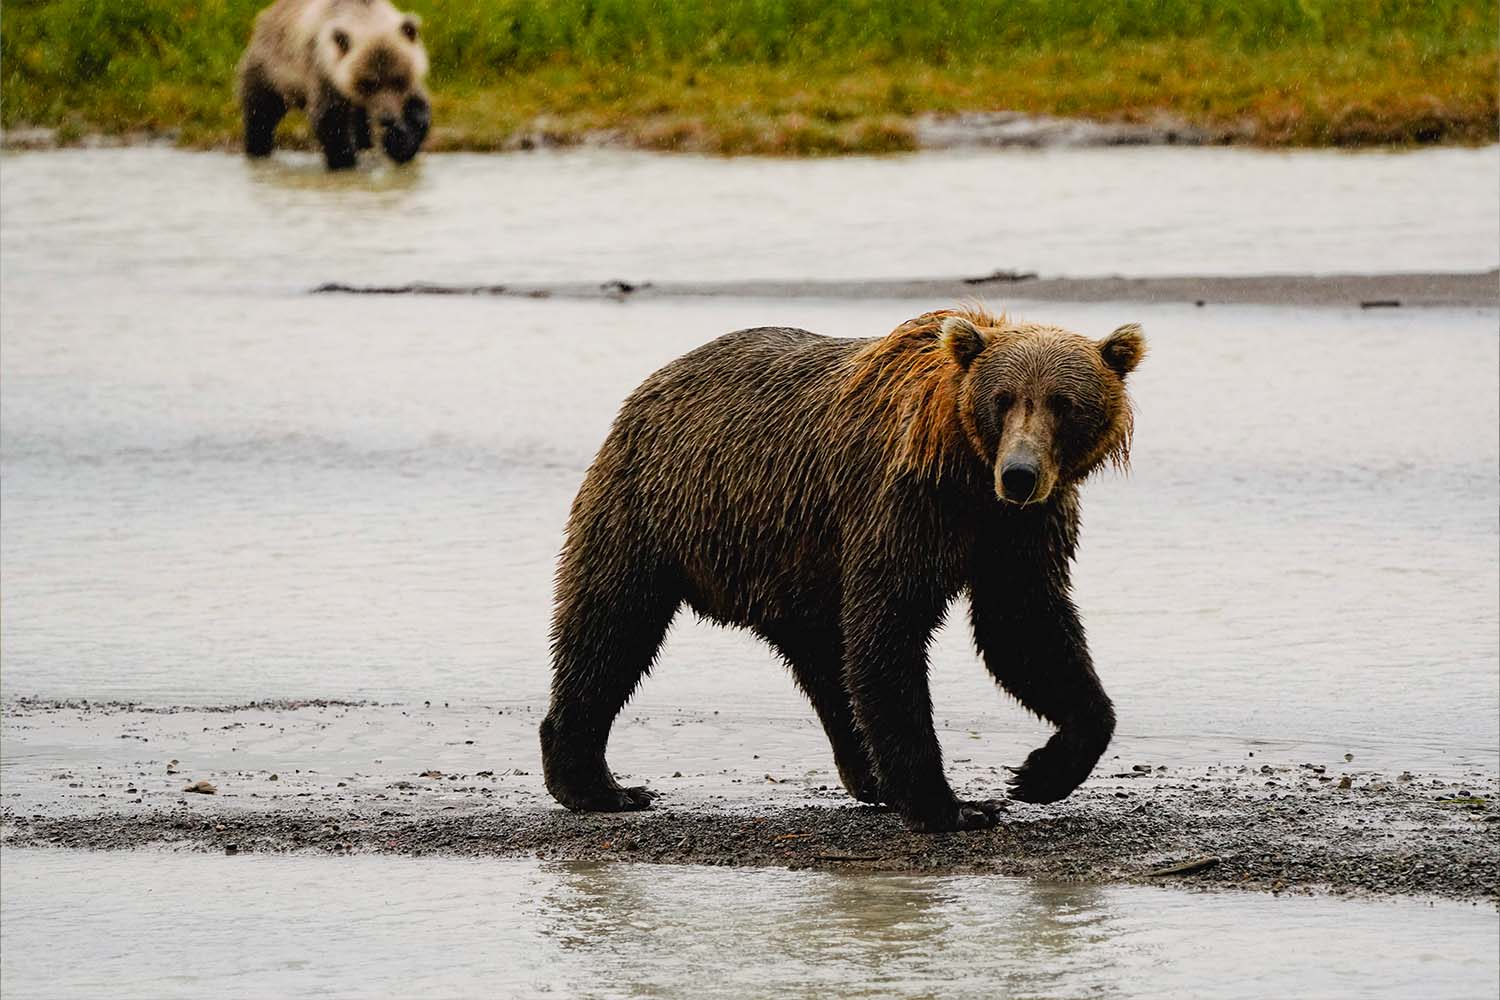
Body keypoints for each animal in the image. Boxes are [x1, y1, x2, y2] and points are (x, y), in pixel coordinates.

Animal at [237, 0, 431, 170]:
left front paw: (399, 143)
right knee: (261, 112)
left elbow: (417, 111)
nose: (387, 118)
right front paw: (344, 161)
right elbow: (331, 119)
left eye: (398, 79)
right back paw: (257, 150)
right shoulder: (323, 70)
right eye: (368, 83)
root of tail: (265, 15)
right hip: (271, 70)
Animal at [540, 307, 1146, 833]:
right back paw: (599, 785)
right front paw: (952, 806)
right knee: (612, 626)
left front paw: (1040, 773)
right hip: (659, 507)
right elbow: (891, 630)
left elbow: (1024, 628)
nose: (1020, 473)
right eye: (1002, 399)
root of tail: (651, 384)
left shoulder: (1018, 532)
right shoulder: (903, 505)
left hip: (792, 562)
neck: (969, 475)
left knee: (827, 661)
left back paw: (868, 775)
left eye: (1064, 402)